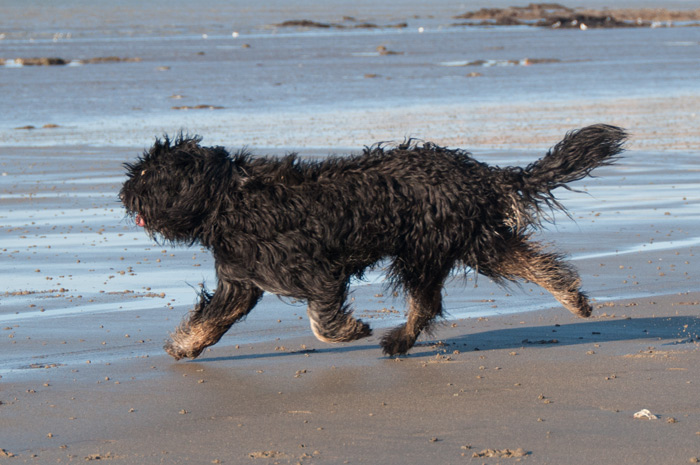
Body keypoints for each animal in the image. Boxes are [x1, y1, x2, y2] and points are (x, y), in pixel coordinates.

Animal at [119, 125, 624, 360]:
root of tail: (480, 173)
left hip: (425, 248)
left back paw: (398, 339)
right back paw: (574, 298)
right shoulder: (240, 281)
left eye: (145, 175)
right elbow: (214, 317)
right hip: (468, 242)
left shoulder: (317, 270)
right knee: (531, 262)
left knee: (426, 301)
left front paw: (349, 330)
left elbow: (321, 319)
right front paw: (186, 345)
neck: (229, 198)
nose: (123, 192)